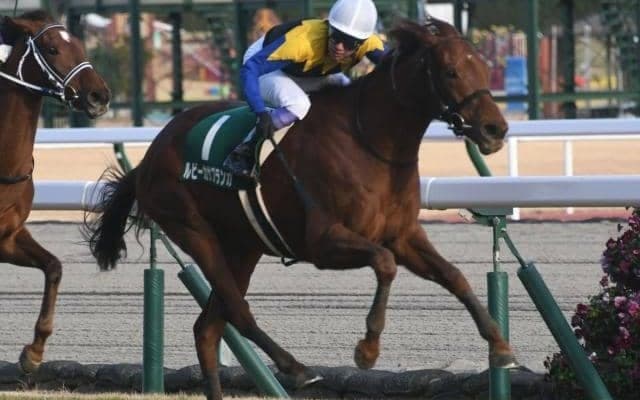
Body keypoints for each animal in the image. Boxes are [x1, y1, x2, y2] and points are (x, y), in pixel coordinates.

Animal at [0, 10, 110, 372]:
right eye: (51, 49)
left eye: (78, 43)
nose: (99, 96)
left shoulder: (8, 236)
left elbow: (54, 267)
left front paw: (33, 352)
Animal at [85, 18, 513, 399]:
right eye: (451, 71)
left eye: (484, 67)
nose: (496, 129)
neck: (371, 140)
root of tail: (150, 154)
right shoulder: (323, 242)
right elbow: (385, 264)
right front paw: (367, 349)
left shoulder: (403, 235)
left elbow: (454, 275)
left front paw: (500, 346)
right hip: (192, 229)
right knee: (237, 312)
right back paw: (297, 369)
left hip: (242, 246)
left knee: (208, 328)